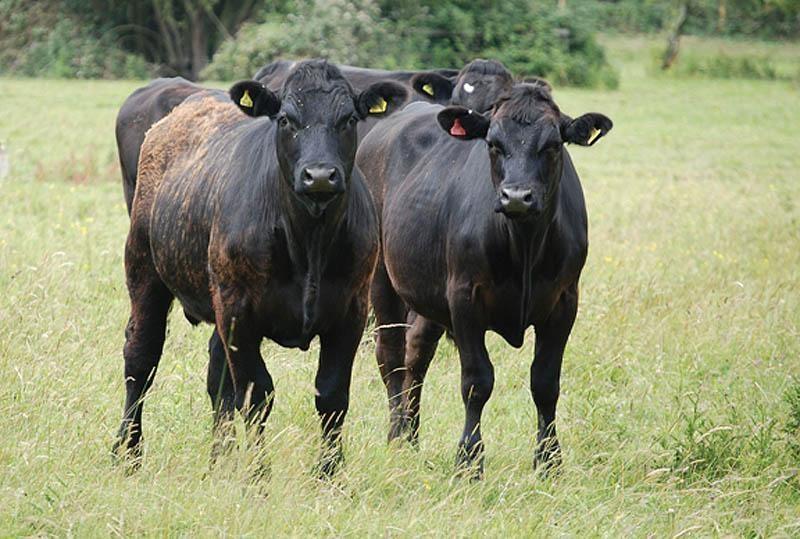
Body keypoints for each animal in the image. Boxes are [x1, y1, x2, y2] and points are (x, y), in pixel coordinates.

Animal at [112, 59, 406, 474]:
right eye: (285, 119)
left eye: (349, 119)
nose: (319, 175)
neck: (308, 242)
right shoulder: (240, 313)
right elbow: (256, 394)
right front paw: (257, 475)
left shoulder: (351, 312)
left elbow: (332, 396)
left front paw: (330, 475)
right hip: (144, 271)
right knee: (141, 357)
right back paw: (129, 452)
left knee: (216, 376)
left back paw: (219, 459)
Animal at [356, 81, 612, 476]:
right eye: (493, 143)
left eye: (553, 145)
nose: (517, 197)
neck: (524, 244)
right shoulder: (465, 298)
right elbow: (477, 381)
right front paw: (469, 459)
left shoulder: (564, 301)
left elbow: (545, 382)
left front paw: (549, 460)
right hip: (383, 278)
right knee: (391, 356)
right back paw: (397, 436)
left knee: (417, 354)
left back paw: (412, 437)